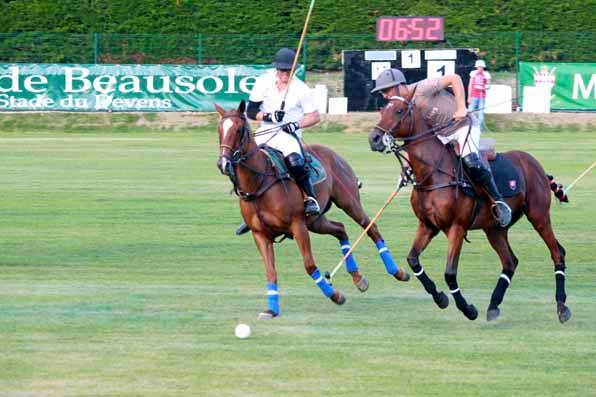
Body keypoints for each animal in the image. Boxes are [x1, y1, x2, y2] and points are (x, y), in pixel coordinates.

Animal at [215, 101, 410, 318]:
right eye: (219, 130)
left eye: (239, 130)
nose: (223, 164)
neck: (258, 184)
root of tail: (333, 153)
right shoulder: (260, 234)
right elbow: (270, 271)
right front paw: (272, 309)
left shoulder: (297, 225)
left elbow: (309, 265)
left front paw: (335, 295)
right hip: (315, 221)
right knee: (340, 228)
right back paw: (358, 278)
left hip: (348, 202)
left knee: (371, 228)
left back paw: (397, 272)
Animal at [370, 95, 572, 322]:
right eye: (381, 110)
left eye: (399, 110)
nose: (374, 138)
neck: (433, 174)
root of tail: (537, 165)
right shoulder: (427, 225)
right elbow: (413, 260)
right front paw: (440, 298)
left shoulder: (457, 227)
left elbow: (449, 273)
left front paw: (468, 309)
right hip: (494, 228)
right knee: (510, 261)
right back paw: (493, 305)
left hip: (538, 215)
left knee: (557, 253)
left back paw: (562, 306)